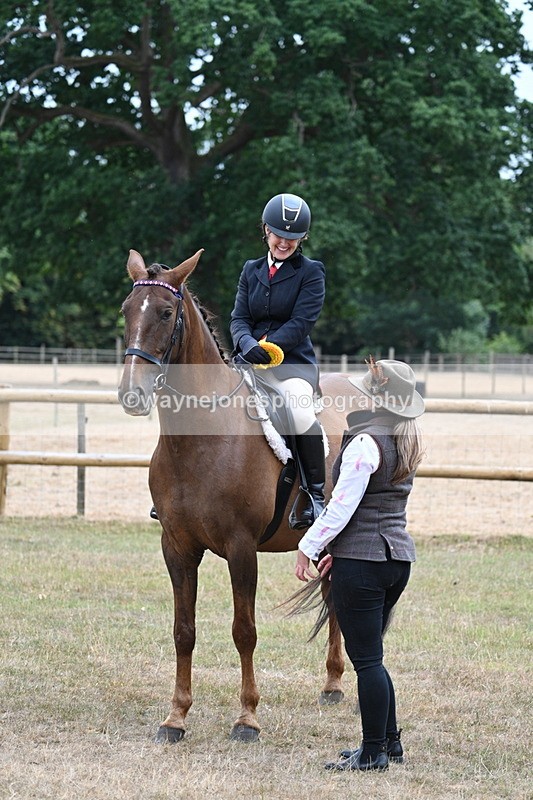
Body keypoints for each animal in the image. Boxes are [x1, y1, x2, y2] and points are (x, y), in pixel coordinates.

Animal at [118, 248, 365, 743]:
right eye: (126, 310)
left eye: (167, 313)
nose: (131, 393)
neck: (201, 438)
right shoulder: (177, 547)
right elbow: (184, 630)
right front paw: (176, 717)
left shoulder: (241, 547)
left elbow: (244, 631)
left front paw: (247, 718)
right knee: (332, 595)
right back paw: (331, 684)